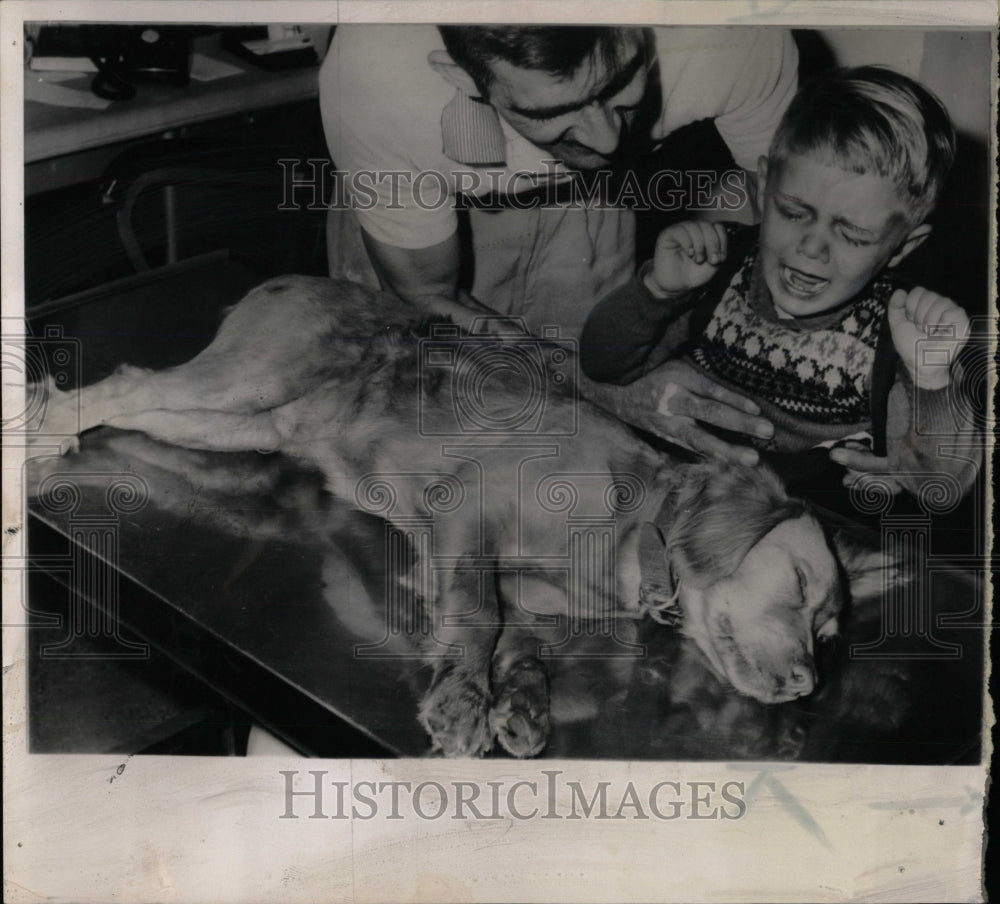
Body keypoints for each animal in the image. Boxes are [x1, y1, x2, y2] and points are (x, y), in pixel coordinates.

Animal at [27, 274, 896, 756]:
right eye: (796, 588)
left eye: (830, 634)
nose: (804, 685)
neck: (628, 531)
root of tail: (284, 280)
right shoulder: (465, 517)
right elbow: (477, 615)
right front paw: (461, 701)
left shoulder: (535, 601)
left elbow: (524, 646)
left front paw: (520, 703)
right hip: (250, 379)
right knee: (127, 382)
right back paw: (37, 435)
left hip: (240, 424)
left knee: (135, 404)